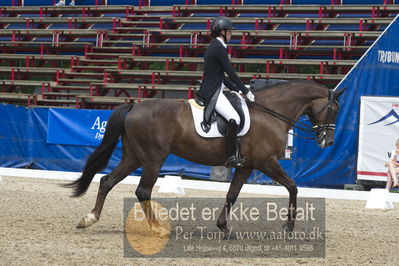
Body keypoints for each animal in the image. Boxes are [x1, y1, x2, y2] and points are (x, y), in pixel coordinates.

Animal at [65, 80, 344, 235]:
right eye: (334, 109)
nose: (329, 142)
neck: (271, 112)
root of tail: (134, 106)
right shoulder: (266, 162)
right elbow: (293, 187)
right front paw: (289, 227)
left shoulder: (246, 166)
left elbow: (232, 195)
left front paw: (223, 227)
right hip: (153, 160)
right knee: (142, 191)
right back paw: (157, 228)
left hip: (133, 157)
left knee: (107, 182)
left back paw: (88, 219)